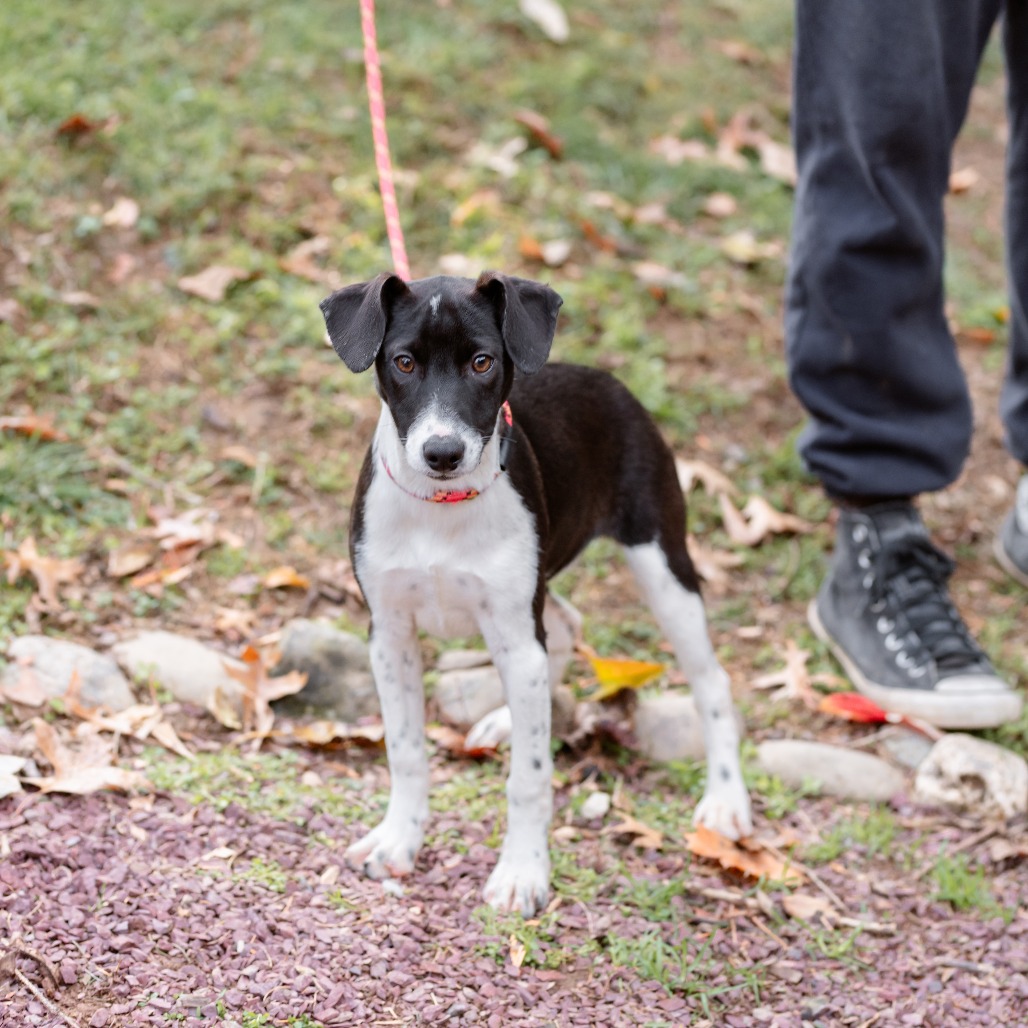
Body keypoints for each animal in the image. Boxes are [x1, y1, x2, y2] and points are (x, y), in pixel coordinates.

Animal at [320, 271, 752, 915]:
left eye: (482, 362)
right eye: (403, 362)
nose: (442, 453)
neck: (442, 509)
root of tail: (608, 380)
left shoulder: (517, 634)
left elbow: (529, 777)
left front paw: (522, 872)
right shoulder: (390, 635)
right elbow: (406, 750)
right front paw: (399, 840)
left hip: (661, 566)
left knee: (711, 683)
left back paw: (726, 799)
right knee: (568, 630)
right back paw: (505, 720)